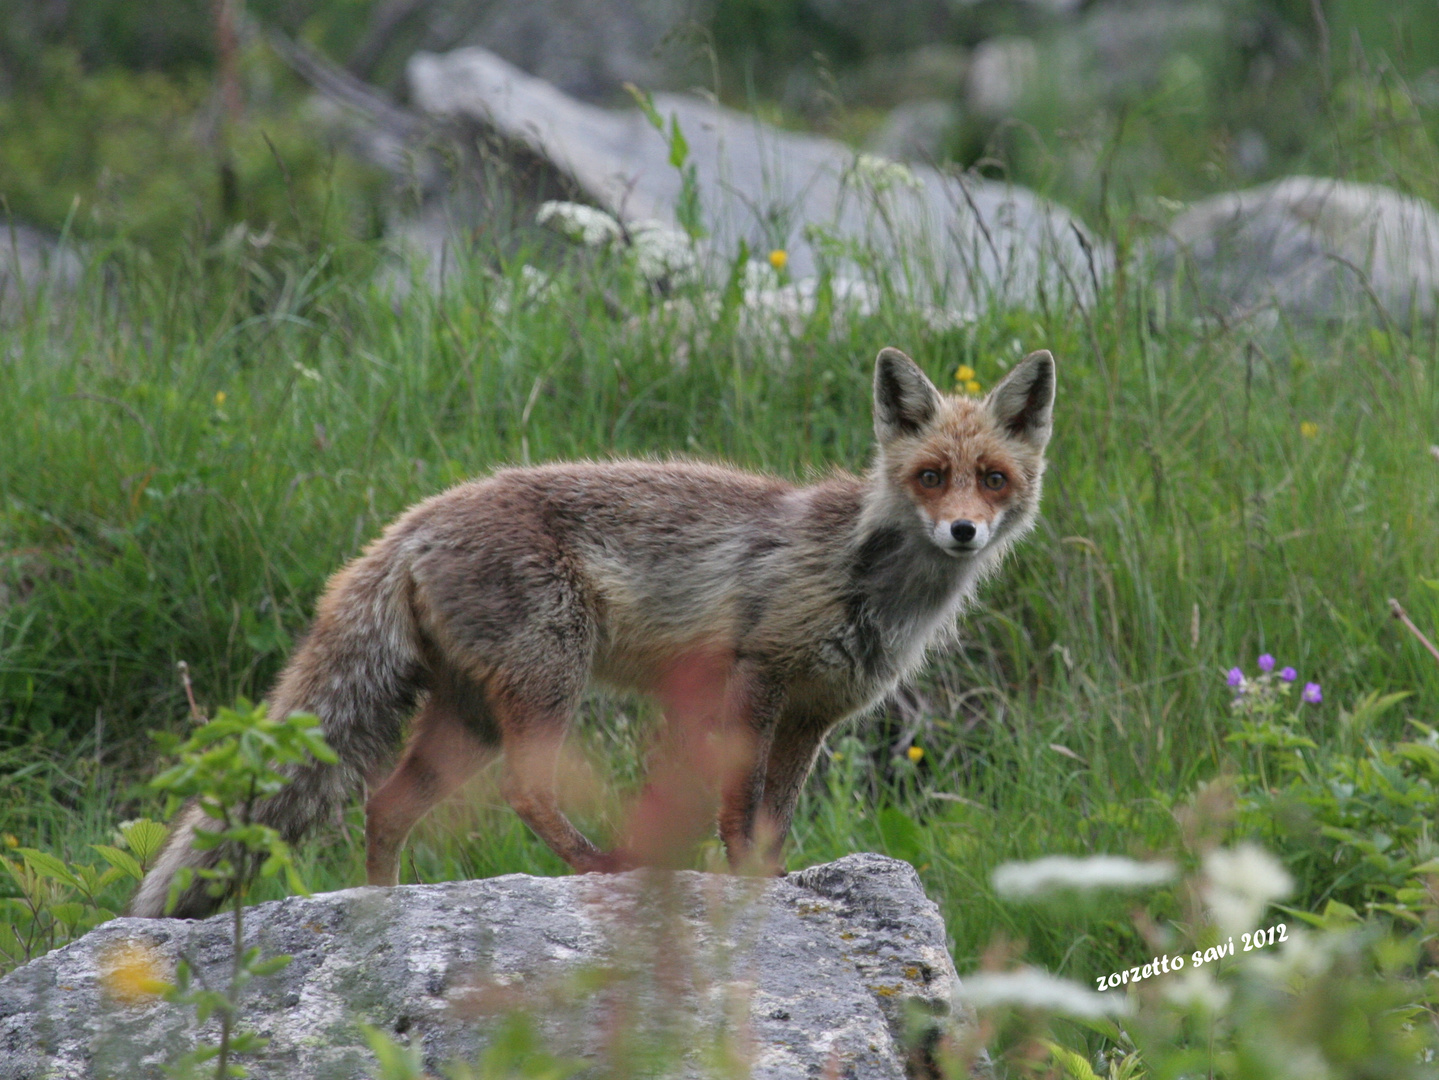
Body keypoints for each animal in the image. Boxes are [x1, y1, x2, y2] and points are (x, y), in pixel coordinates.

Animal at [132, 348, 1059, 920]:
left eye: (992, 479)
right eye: (931, 476)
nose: (963, 532)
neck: (868, 580)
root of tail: (414, 519)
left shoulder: (814, 714)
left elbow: (775, 819)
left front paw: (775, 879)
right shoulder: (756, 677)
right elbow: (737, 810)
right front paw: (743, 887)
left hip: (469, 717)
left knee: (385, 802)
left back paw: (380, 915)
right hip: (550, 681)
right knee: (523, 793)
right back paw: (602, 869)